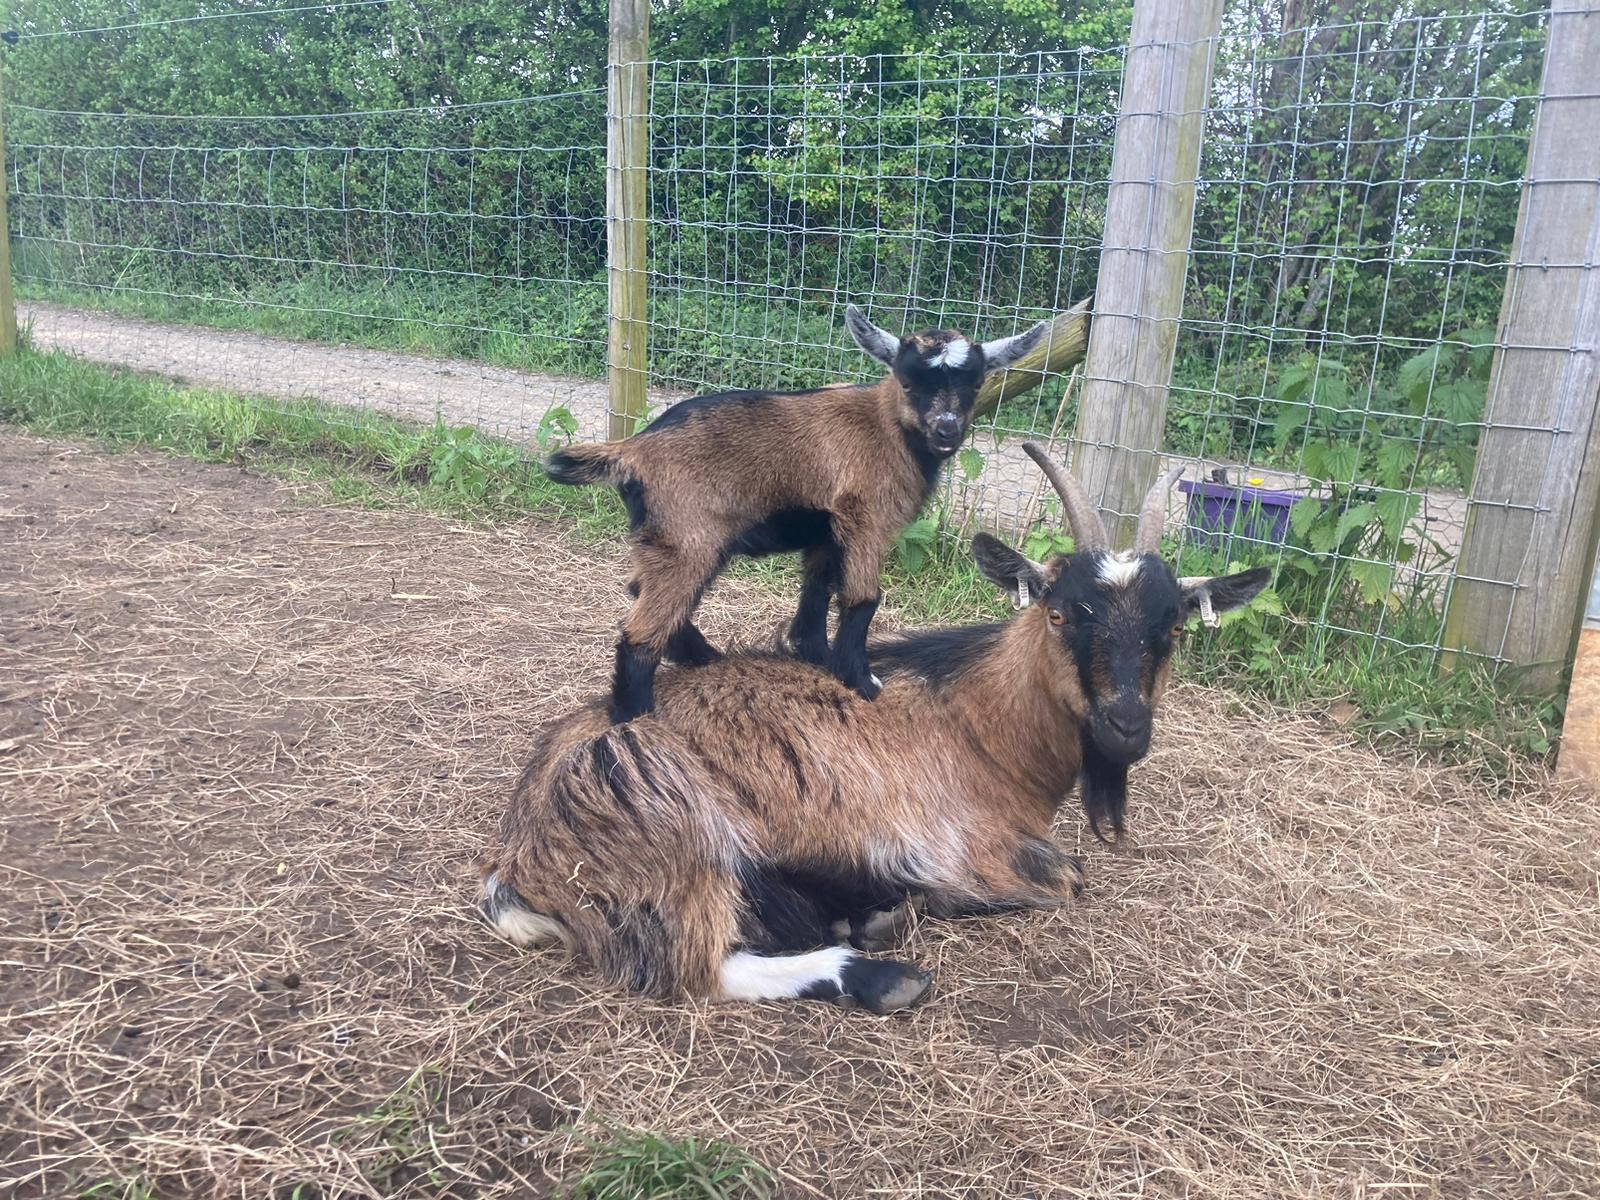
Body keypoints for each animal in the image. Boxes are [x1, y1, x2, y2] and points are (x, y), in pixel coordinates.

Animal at [479, 444, 1269, 1012]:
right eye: (1059, 613)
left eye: (1173, 628)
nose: (1125, 726)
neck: (977, 719)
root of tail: (520, 851)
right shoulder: (967, 843)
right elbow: (1067, 880)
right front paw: (928, 900)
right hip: (681, 829)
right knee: (699, 969)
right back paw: (878, 971)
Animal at [544, 306, 1048, 724]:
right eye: (908, 384)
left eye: (975, 385)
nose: (946, 431)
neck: (887, 428)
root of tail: (635, 450)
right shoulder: (867, 519)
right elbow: (862, 600)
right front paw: (861, 682)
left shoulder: (829, 530)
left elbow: (816, 593)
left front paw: (816, 657)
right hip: (690, 537)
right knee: (640, 630)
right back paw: (634, 714)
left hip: (668, 538)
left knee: (643, 590)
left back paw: (705, 659)